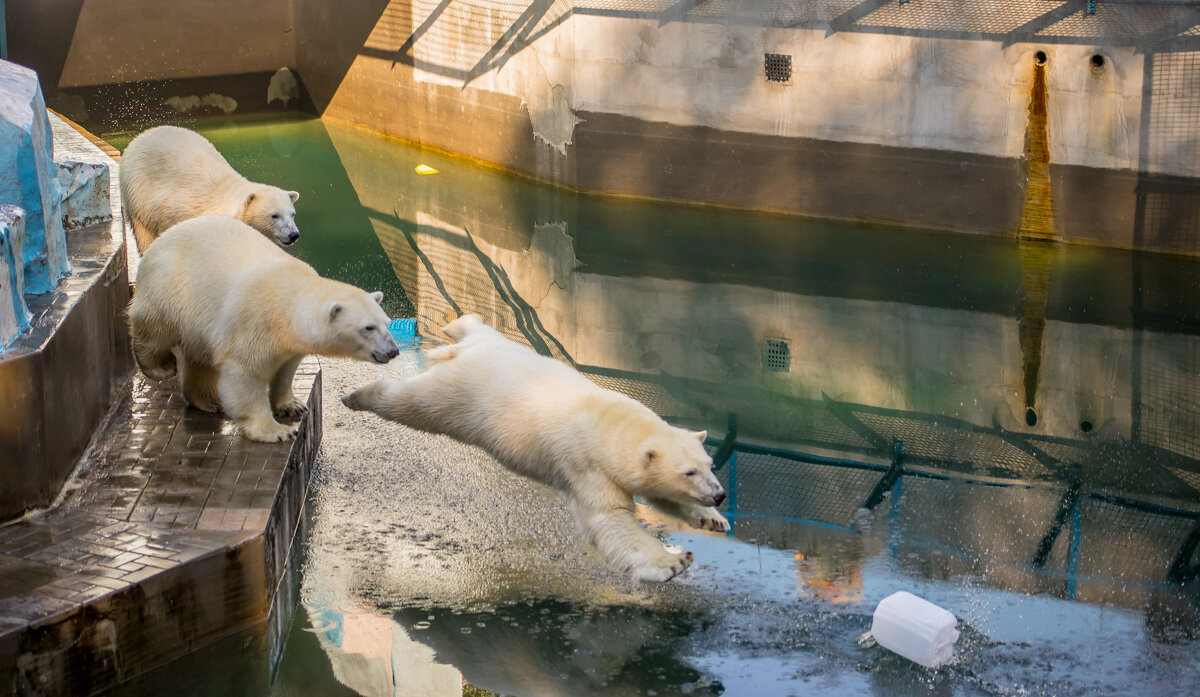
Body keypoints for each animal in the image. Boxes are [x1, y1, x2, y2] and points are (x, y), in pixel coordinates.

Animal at [130, 214, 398, 441]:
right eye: (368, 327)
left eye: (387, 323)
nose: (393, 351)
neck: (288, 301)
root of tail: (164, 237)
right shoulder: (253, 323)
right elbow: (244, 375)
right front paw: (276, 431)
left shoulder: (290, 342)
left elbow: (286, 369)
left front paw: (292, 405)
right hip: (172, 288)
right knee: (154, 328)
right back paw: (160, 368)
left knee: (200, 356)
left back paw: (206, 401)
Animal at [340, 314, 729, 580]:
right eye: (689, 472)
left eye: (709, 466)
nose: (719, 495)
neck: (610, 419)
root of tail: (462, 354)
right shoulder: (586, 464)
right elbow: (608, 520)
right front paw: (673, 561)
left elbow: (660, 498)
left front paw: (712, 520)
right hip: (456, 397)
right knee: (409, 402)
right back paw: (357, 395)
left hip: (499, 346)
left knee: (480, 329)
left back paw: (461, 322)